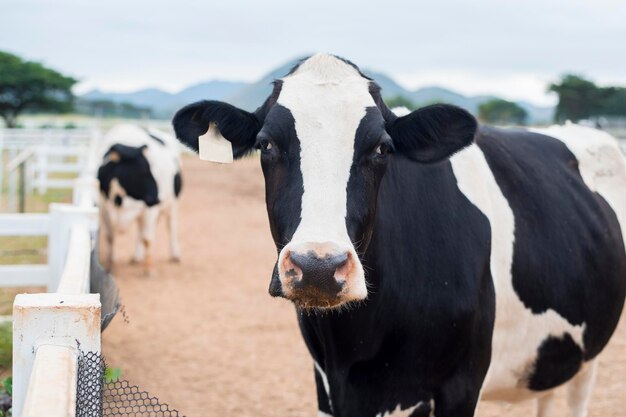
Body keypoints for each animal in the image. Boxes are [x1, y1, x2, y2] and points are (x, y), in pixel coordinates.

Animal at [96, 123, 182, 272]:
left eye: (151, 169)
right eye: (142, 171)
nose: (158, 198)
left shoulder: (149, 209)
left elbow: (147, 238)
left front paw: (149, 270)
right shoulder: (104, 208)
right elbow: (110, 237)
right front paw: (110, 266)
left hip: (172, 204)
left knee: (171, 226)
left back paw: (174, 255)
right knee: (140, 231)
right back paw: (136, 257)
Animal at [171, 53, 624, 414]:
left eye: (381, 148)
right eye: (266, 145)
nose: (319, 268)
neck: (360, 343)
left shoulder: (462, 382)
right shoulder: (328, 385)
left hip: (589, 353)